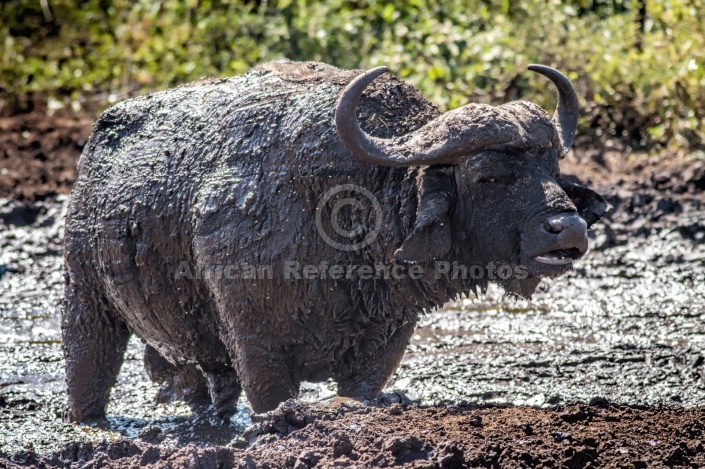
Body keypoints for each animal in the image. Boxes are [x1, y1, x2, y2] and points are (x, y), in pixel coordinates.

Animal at [63, 60, 608, 418]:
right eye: (489, 175)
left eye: (552, 169)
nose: (569, 228)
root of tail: (94, 151)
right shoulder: (256, 344)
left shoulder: (385, 340)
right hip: (85, 297)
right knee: (88, 372)